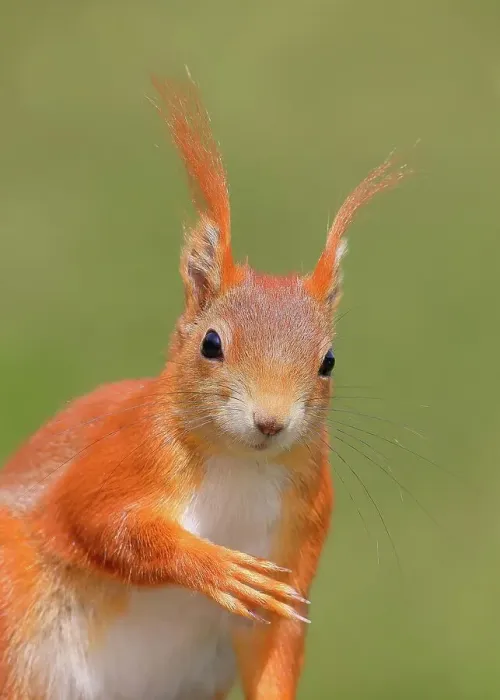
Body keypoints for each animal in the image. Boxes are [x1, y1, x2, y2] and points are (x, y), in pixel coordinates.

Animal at [0, 77, 405, 700]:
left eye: (329, 361)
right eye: (211, 344)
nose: (270, 421)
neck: (239, 465)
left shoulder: (300, 536)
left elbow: (276, 643)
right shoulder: (115, 457)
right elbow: (99, 522)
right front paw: (216, 567)